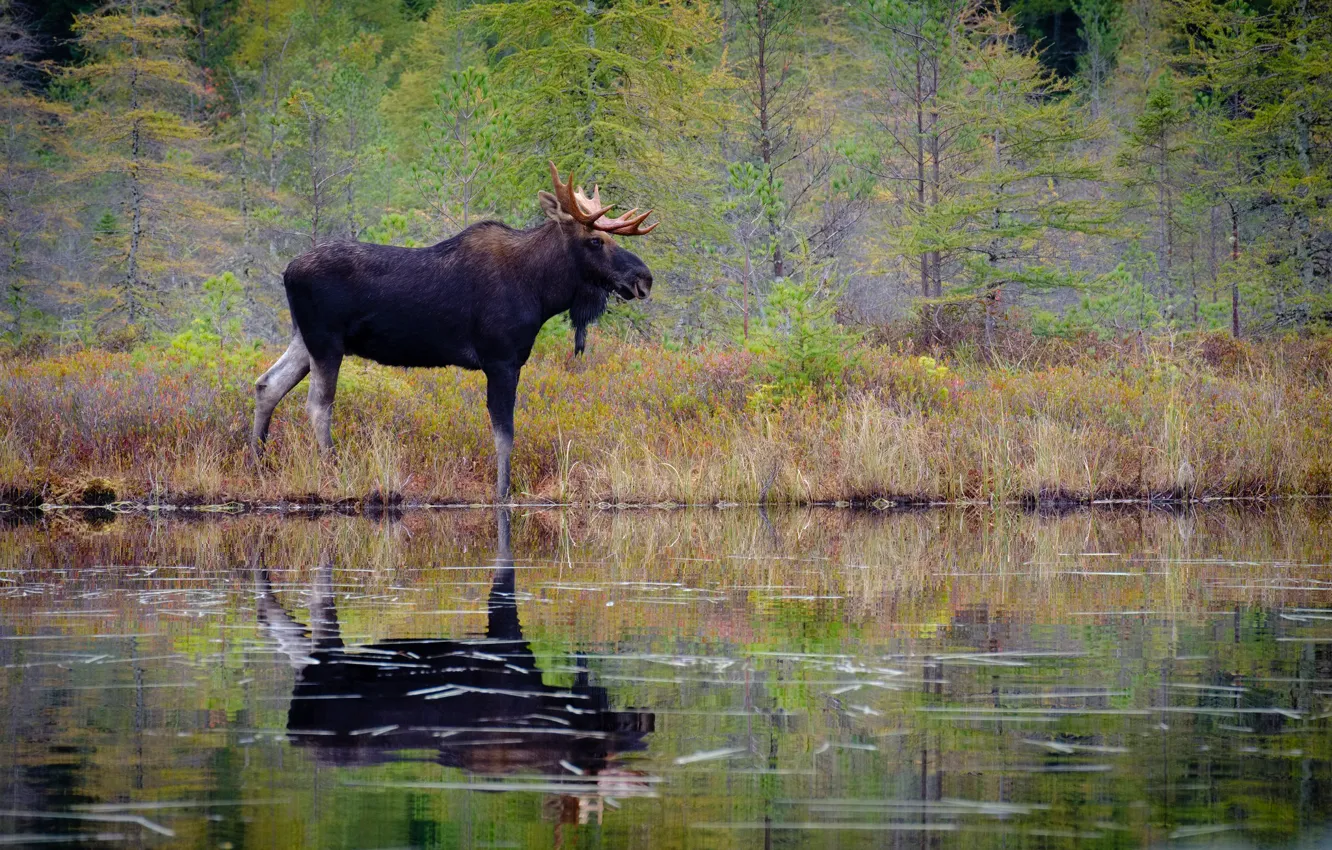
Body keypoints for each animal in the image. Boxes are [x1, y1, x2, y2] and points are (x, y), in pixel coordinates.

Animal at [250, 163, 655, 503]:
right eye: (596, 241)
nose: (644, 278)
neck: (541, 291)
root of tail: (287, 271)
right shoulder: (502, 360)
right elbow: (504, 434)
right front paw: (503, 492)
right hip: (327, 341)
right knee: (318, 404)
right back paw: (334, 470)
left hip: (304, 338)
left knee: (268, 383)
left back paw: (258, 460)